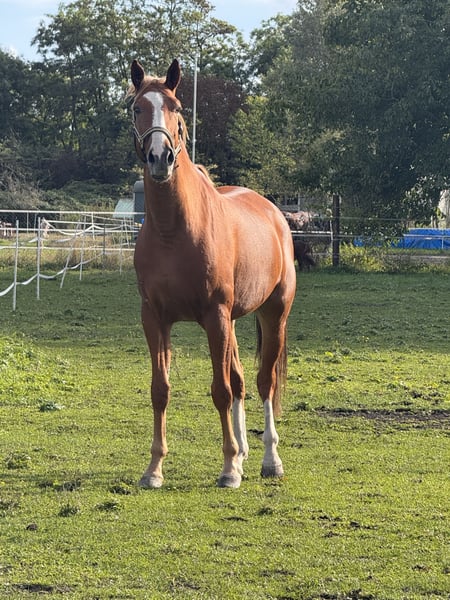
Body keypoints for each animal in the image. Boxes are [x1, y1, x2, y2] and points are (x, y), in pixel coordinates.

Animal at [129, 59, 296, 488]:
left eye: (176, 107)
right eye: (137, 108)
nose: (159, 158)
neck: (174, 230)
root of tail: (274, 213)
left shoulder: (214, 315)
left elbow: (220, 390)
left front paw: (228, 469)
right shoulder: (154, 318)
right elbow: (160, 389)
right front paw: (154, 469)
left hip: (272, 314)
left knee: (263, 382)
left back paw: (269, 460)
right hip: (233, 323)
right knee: (240, 381)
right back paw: (243, 452)